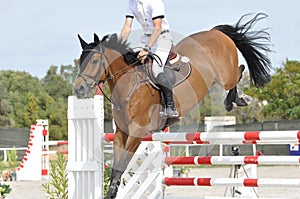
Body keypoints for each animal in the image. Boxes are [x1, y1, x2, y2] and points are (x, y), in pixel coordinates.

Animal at [73, 13, 272, 198]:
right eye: (80, 62)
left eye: (95, 61)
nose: (79, 89)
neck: (129, 83)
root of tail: (215, 32)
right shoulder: (121, 133)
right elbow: (116, 166)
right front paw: (111, 193)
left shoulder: (137, 132)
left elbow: (122, 163)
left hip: (225, 75)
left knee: (239, 72)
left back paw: (235, 100)